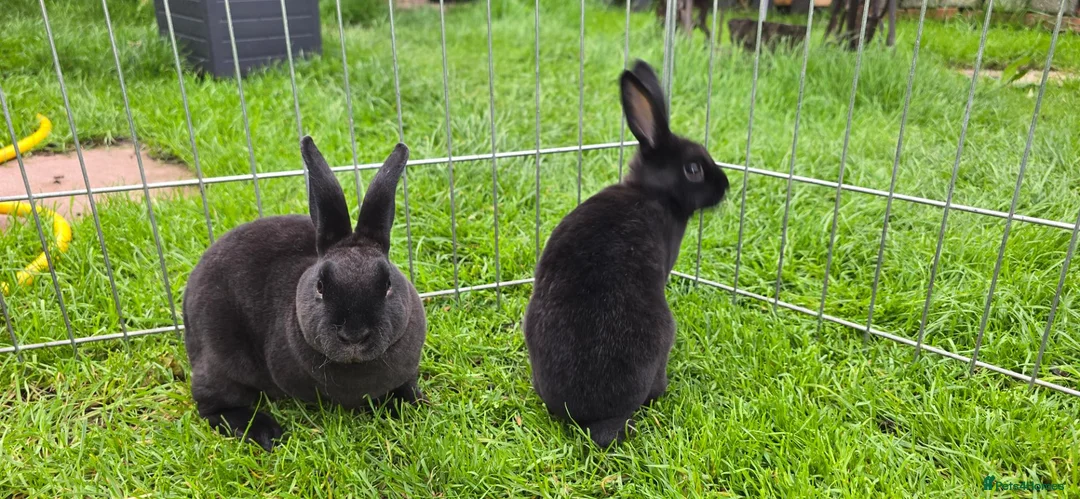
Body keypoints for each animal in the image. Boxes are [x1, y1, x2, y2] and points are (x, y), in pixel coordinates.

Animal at [182, 137, 426, 451]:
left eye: (387, 285)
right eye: (320, 286)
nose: (354, 336)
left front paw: (417, 404)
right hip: (219, 360)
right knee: (212, 406)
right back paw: (266, 433)